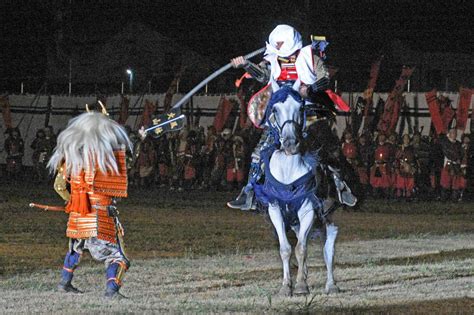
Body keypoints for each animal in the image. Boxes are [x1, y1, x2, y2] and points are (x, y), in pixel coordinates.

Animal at [260, 83, 340, 296]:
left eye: (301, 107)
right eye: (274, 109)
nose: (290, 143)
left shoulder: (308, 209)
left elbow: (301, 248)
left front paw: (302, 286)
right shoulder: (275, 208)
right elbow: (286, 248)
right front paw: (286, 286)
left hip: (327, 215)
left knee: (328, 245)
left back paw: (331, 285)